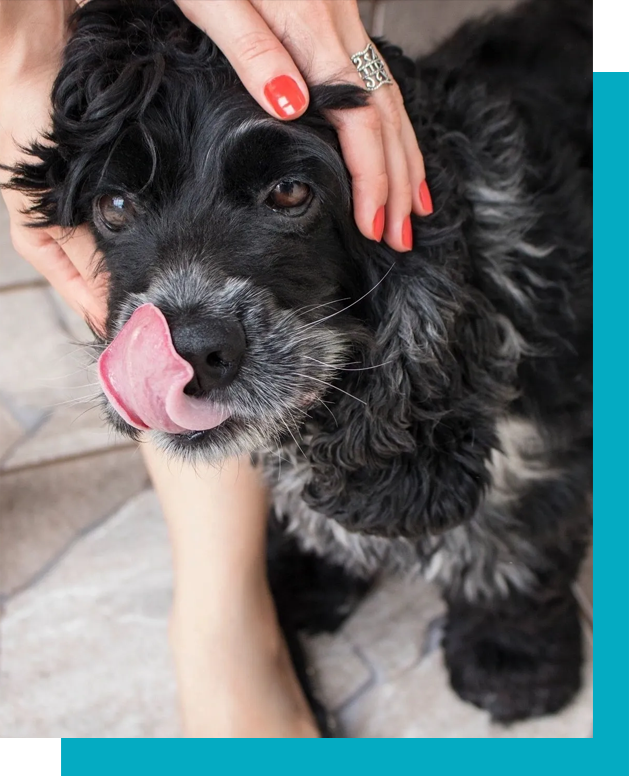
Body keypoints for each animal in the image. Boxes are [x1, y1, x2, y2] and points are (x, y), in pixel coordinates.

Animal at [7, 0, 592, 732]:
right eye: (114, 208)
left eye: (289, 193)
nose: (189, 351)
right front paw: (304, 573)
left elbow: (521, 540)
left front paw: (511, 658)